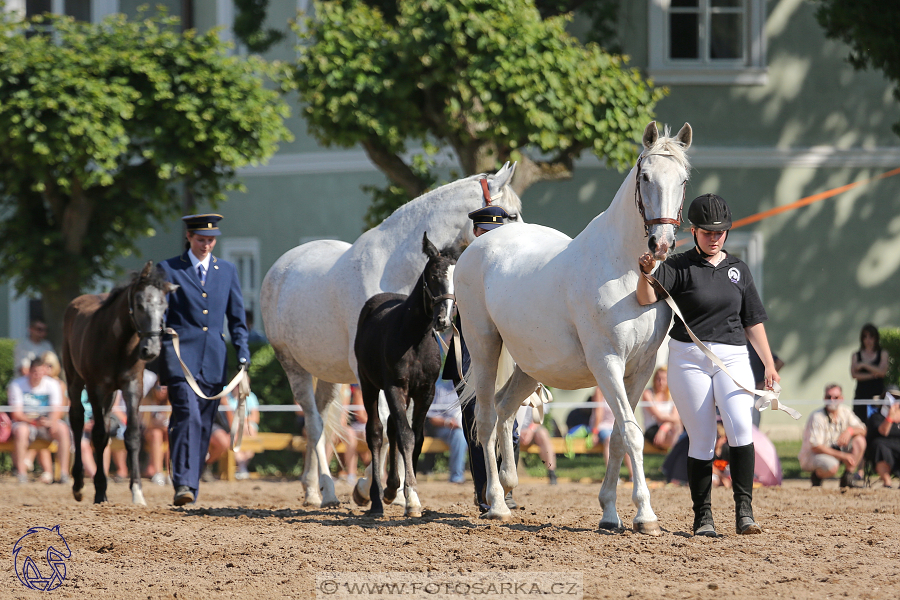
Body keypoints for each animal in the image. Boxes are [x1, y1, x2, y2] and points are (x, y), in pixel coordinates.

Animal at [62, 262, 178, 506]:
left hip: (111, 394)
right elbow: (97, 435)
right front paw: (99, 492)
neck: (117, 343)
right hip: (75, 380)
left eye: (163, 305)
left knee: (105, 427)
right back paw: (79, 486)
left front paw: (137, 492)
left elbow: (131, 435)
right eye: (140, 305)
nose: (151, 350)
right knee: (77, 420)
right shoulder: (95, 388)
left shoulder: (132, 387)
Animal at [356, 233, 458, 516]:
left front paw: (405, 492)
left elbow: (417, 437)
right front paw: (411, 497)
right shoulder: (394, 387)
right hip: (368, 384)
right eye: (433, 276)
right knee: (376, 433)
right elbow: (406, 436)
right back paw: (377, 500)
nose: (444, 320)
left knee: (391, 428)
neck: (415, 338)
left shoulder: (425, 392)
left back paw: (391, 489)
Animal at [454, 119, 692, 532]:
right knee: (484, 418)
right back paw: (496, 503)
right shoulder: (607, 362)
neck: (623, 270)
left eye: (683, 179)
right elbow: (632, 433)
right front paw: (645, 514)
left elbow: (618, 436)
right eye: (645, 176)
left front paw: (610, 513)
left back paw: (510, 484)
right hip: (484, 348)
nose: (660, 244)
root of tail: (479, 248)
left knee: (504, 410)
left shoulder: (641, 369)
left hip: (530, 366)